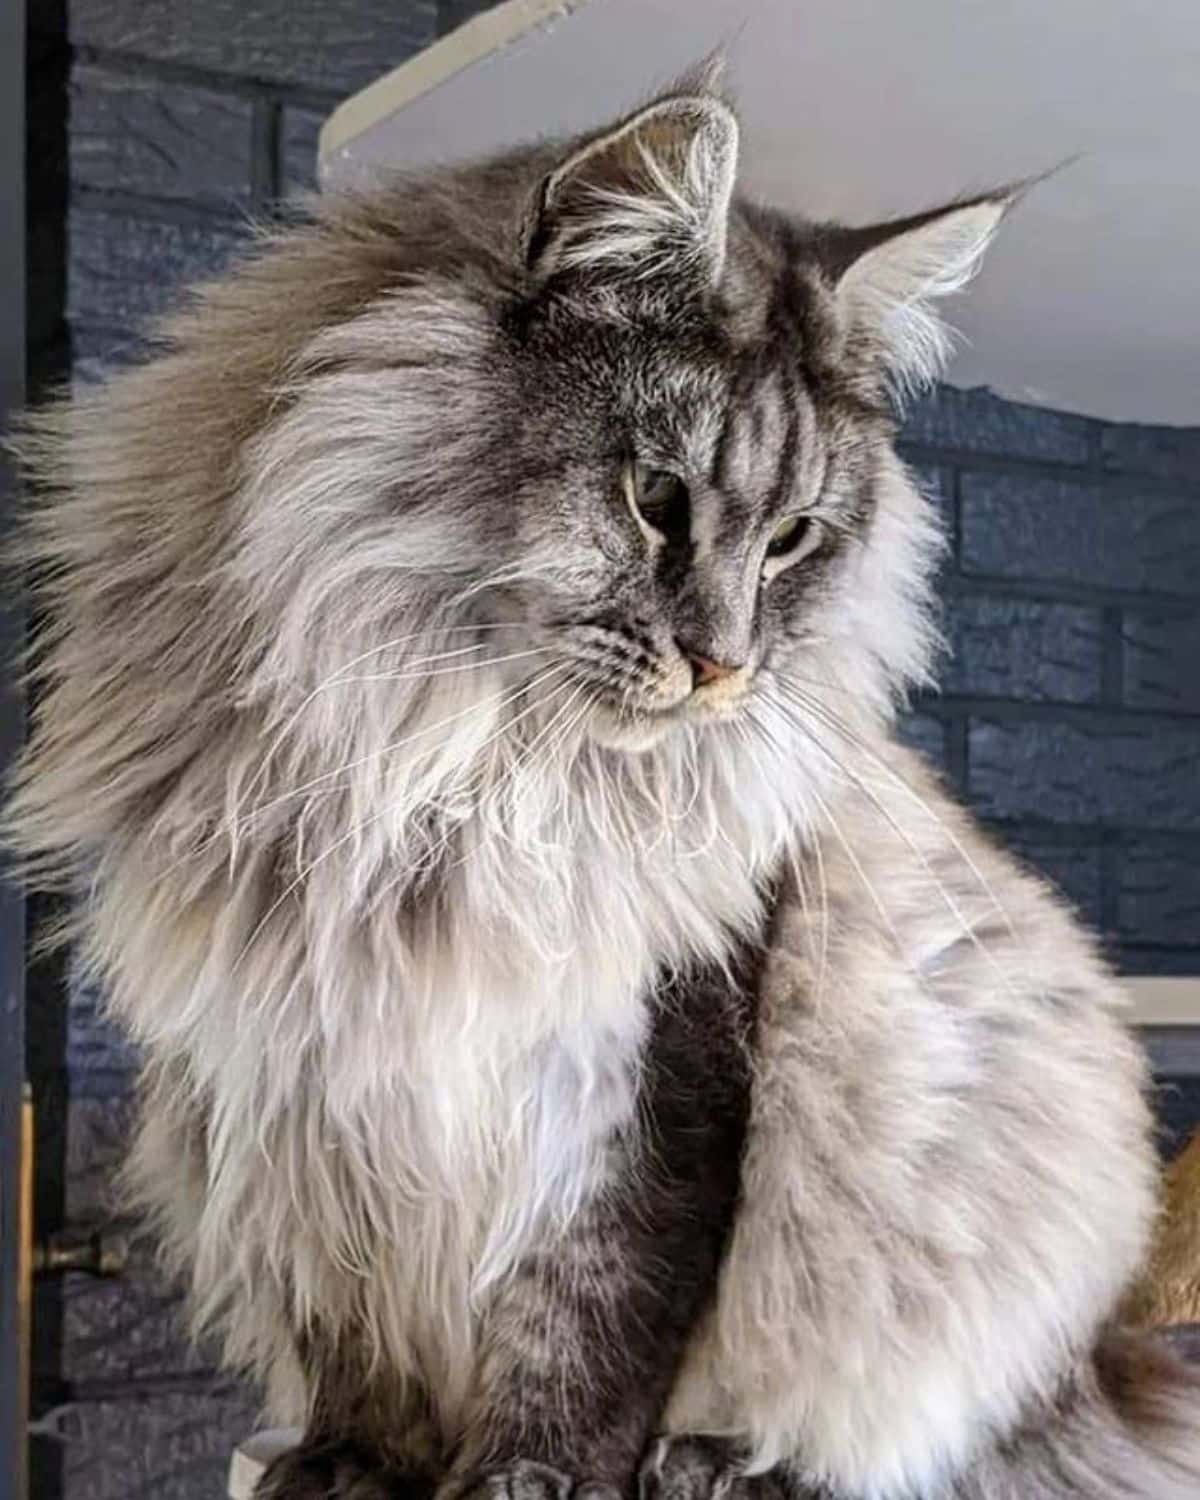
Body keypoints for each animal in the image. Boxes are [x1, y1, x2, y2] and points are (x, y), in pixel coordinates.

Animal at [9, 64, 1200, 1500]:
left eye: (793, 538)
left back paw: (723, 1463)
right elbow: (351, 1330)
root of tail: (1110, 1368)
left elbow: (593, 1310)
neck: (468, 778)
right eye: (656, 498)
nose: (724, 665)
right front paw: (353, 1464)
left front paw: (534, 1478)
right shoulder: (307, 1075)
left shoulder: (660, 1059)